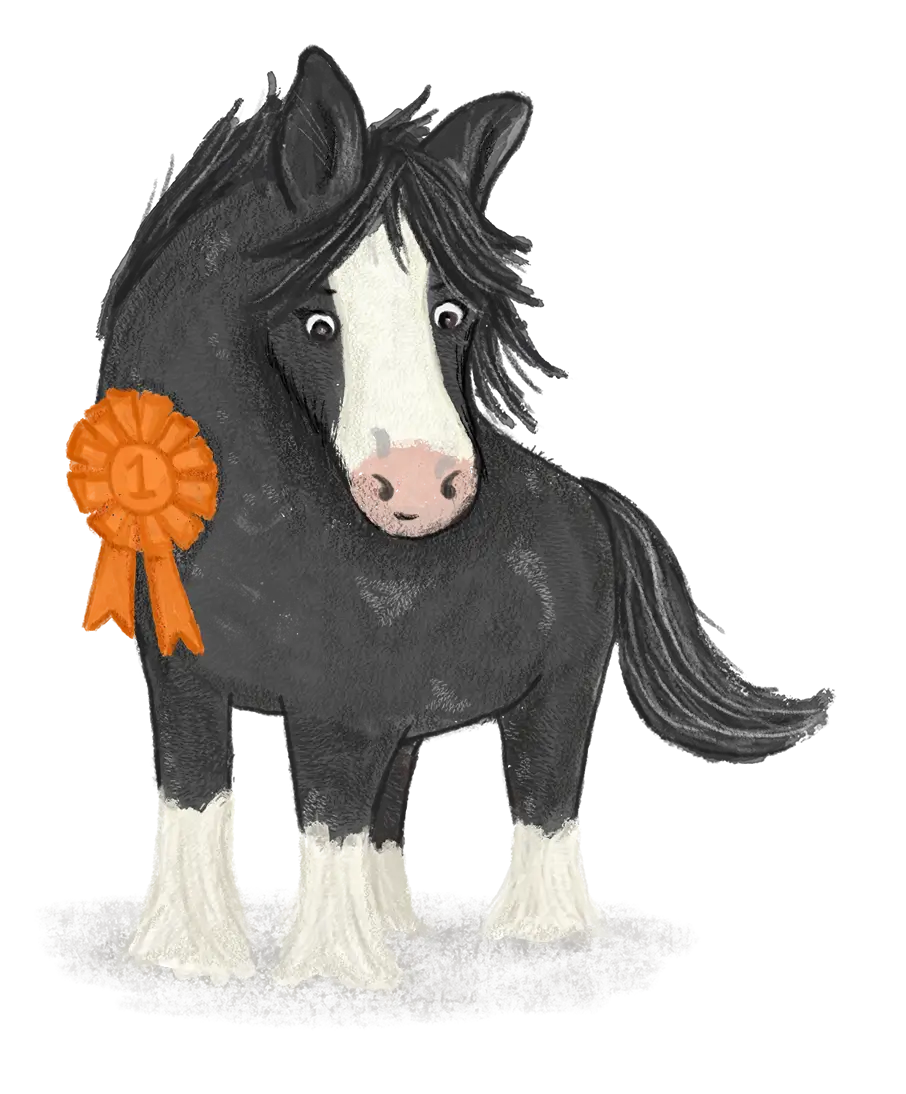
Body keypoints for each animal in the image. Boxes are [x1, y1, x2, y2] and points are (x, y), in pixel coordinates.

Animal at [75, 43, 839, 991]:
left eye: (450, 313)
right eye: (317, 320)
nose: (418, 487)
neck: (257, 539)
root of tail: (590, 499)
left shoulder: (342, 711)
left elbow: (329, 817)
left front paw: (329, 975)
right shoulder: (184, 686)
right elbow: (194, 799)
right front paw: (191, 958)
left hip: (560, 695)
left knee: (545, 797)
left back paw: (539, 937)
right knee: (396, 809)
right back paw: (398, 926)